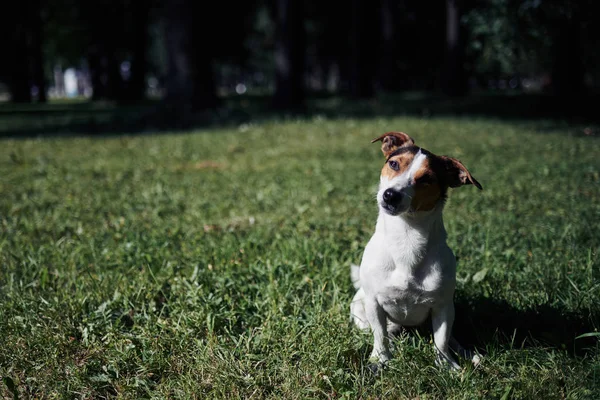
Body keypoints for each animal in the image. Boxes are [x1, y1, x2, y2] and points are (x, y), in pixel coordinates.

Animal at [352, 132, 482, 372]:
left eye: (426, 179)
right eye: (394, 164)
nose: (390, 195)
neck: (406, 238)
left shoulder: (442, 306)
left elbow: (441, 340)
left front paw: (446, 365)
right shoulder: (374, 302)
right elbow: (380, 336)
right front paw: (380, 360)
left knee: (450, 338)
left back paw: (468, 353)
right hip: (360, 307)